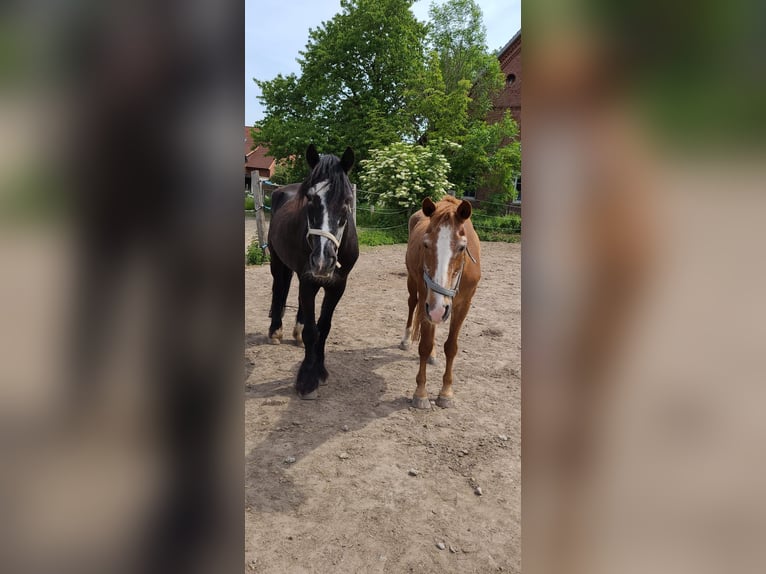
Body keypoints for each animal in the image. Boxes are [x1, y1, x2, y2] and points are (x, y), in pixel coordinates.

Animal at [268, 144, 360, 400]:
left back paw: (296, 333)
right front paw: (307, 379)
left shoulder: (338, 285)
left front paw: (320, 370)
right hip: (277, 261)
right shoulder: (308, 280)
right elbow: (312, 331)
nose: (322, 260)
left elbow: (323, 327)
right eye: (309, 199)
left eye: (347, 200)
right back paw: (275, 331)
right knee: (279, 289)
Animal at [402, 198, 480, 410]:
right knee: (412, 304)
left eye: (462, 247)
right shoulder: (427, 300)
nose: (437, 310)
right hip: (415, 286)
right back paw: (406, 340)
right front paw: (420, 393)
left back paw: (433, 355)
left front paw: (446, 393)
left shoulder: (463, 305)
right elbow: (424, 344)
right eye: (425, 244)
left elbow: (451, 347)